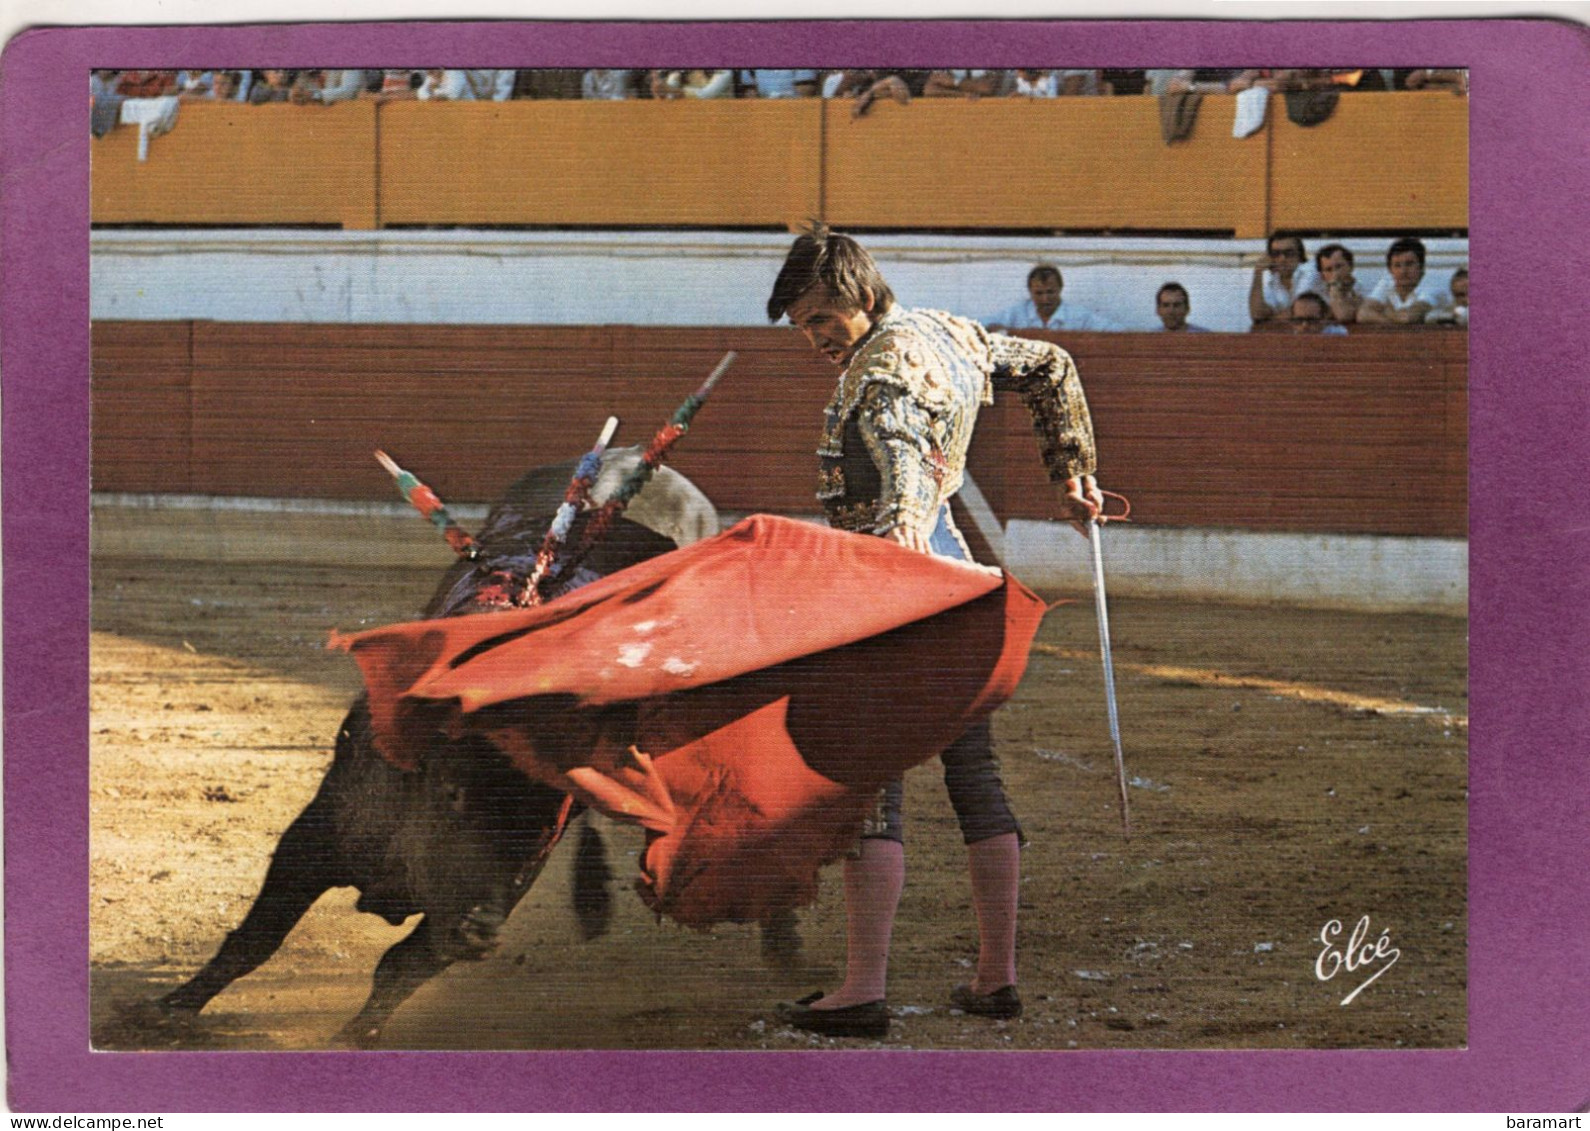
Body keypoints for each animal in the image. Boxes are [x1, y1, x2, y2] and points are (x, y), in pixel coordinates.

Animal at [150, 445, 795, 1049]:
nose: (480, 931)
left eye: (547, 818)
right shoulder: (317, 835)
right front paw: (166, 1010)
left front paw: (354, 1036)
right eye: (452, 794)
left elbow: (401, 967)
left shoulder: (504, 883)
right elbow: (257, 937)